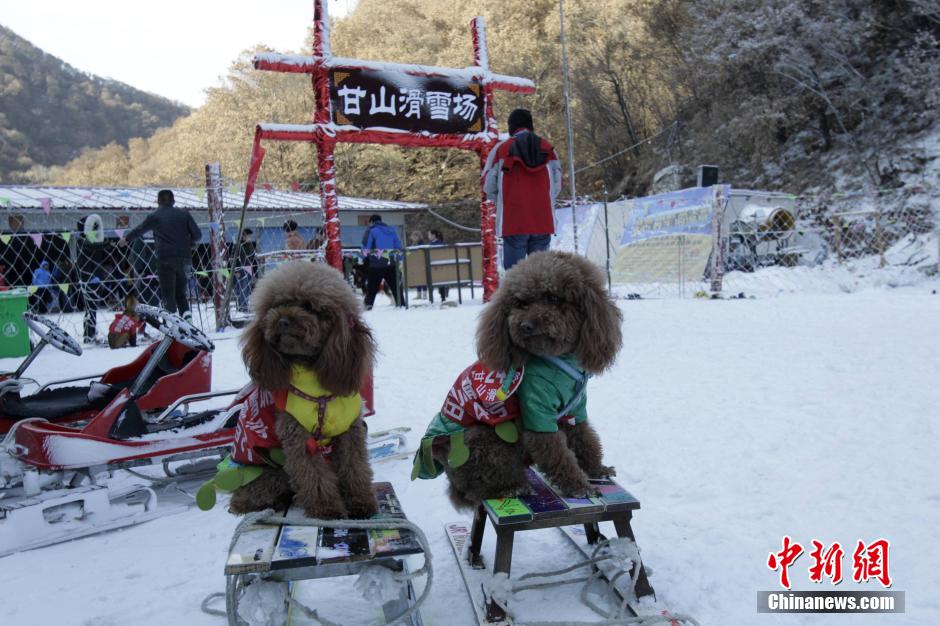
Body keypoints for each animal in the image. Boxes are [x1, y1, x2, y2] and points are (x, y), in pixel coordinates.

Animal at [200, 260, 376, 516]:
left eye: (309, 306)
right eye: (276, 306)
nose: (282, 320)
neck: (318, 389)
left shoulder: (350, 431)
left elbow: (355, 466)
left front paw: (360, 502)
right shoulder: (296, 435)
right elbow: (313, 476)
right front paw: (327, 510)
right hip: (271, 475)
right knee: (246, 500)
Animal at [414, 249, 624, 508]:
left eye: (553, 298)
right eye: (521, 303)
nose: (526, 326)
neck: (557, 360)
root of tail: (452, 481)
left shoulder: (575, 409)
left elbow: (585, 439)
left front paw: (597, 469)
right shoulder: (537, 412)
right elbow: (558, 454)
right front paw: (579, 486)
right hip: (483, 441)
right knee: (477, 490)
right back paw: (512, 486)